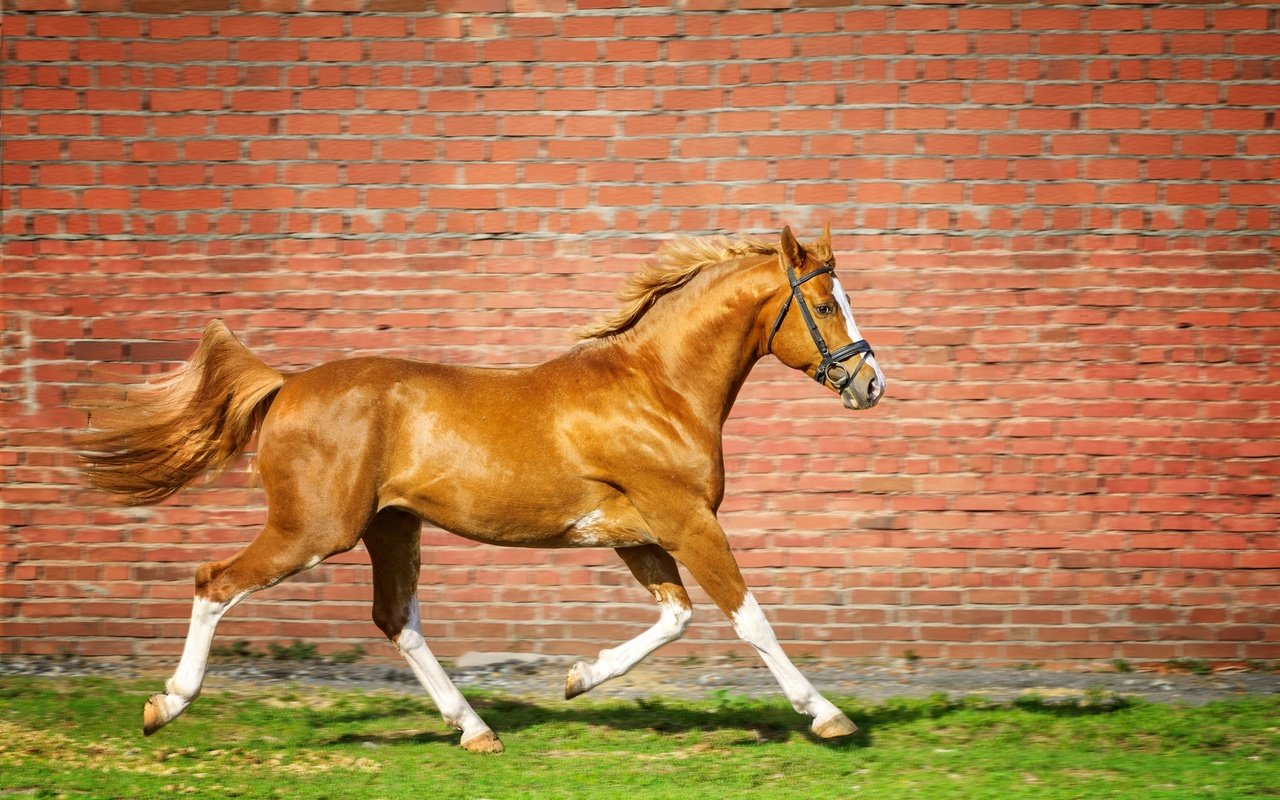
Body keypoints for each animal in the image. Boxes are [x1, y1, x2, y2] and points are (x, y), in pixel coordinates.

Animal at [77, 226, 880, 752]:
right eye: (827, 305)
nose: (870, 383)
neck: (658, 389)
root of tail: (286, 385)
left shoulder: (638, 535)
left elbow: (676, 619)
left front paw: (578, 678)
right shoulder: (685, 521)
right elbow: (750, 619)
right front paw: (829, 716)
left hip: (390, 527)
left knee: (396, 619)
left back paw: (475, 729)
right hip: (313, 532)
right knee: (215, 581)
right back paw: (164, 706)